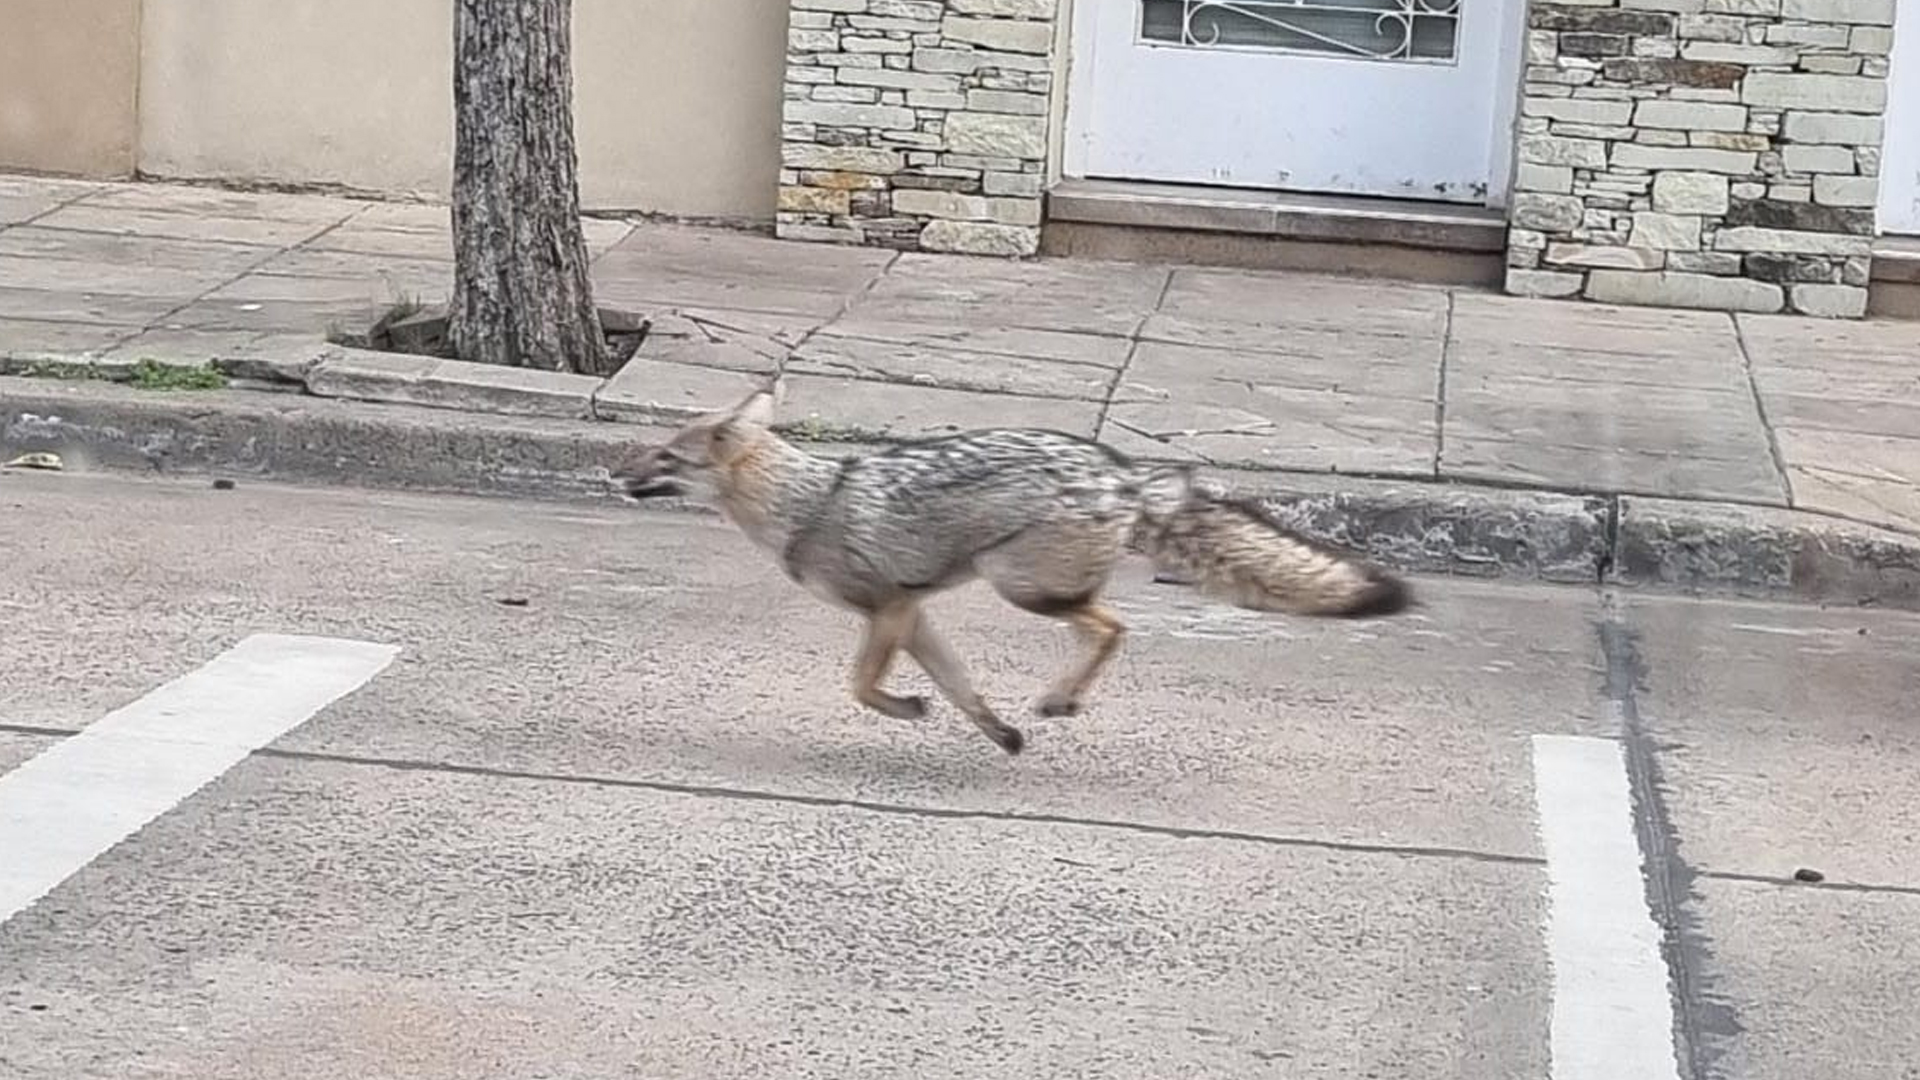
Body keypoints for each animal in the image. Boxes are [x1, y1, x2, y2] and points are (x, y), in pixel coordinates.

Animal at [611, 378, 1411, 756]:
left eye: (665, 457)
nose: (615, 473)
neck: (808, 501)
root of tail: (1122, 475)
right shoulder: (913, 611)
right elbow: (961, 689)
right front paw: (997, 733)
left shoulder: (887, 608)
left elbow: (860, 687)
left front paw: (909, 709)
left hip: (1022, 587)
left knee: (1113, 626)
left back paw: (1061, 699)